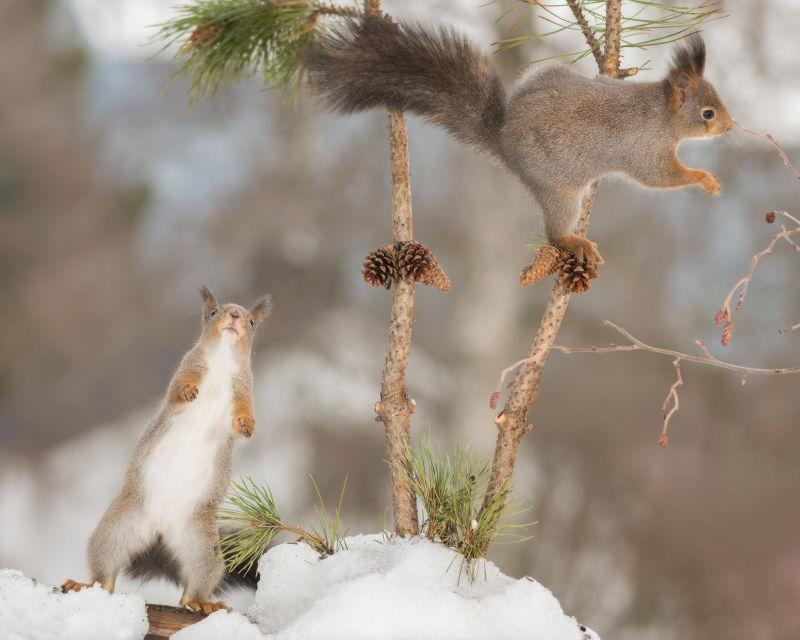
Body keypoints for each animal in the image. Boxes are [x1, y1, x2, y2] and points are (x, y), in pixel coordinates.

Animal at [60, 288, 272, 612]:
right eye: (214, 312)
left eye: (251, 321)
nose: (235, 316)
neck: (223, 361)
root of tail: (160, 534)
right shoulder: (186, 369)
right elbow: (177, 391)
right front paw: (188, 391)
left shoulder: (245, 390)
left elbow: (241, 419)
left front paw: (247, 424)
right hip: (116, 530)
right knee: (105, 575)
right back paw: (88, 584)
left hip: (201, 548)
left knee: (191, 588)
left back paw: (201, 602)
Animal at [304, 16, 732, 268]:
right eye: (708, 113)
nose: (729, 127)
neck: (662, 114)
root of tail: (503, 139)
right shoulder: (645, 151)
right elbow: (661, 177)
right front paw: (706, 179)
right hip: (558, 191)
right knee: (554, 233)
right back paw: (574, 241)